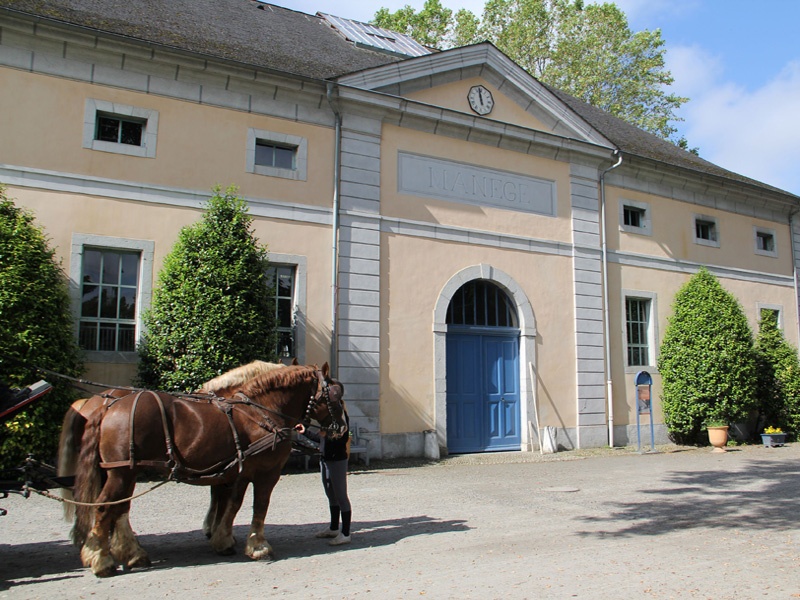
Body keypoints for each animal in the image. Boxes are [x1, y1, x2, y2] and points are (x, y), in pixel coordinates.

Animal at [69, 360, 344, 576]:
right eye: (335, 395)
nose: (342, 427)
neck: (262, 411)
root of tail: (109, 406)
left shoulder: (237, 470)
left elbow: (231, 503)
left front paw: (223, 538)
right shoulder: (266, 472)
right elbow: (258, 506)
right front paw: (257, 545)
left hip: (121, 472)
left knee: (117, 508)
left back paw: (123, 552)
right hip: (122, 473)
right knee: (105, 508)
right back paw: (102, 559)